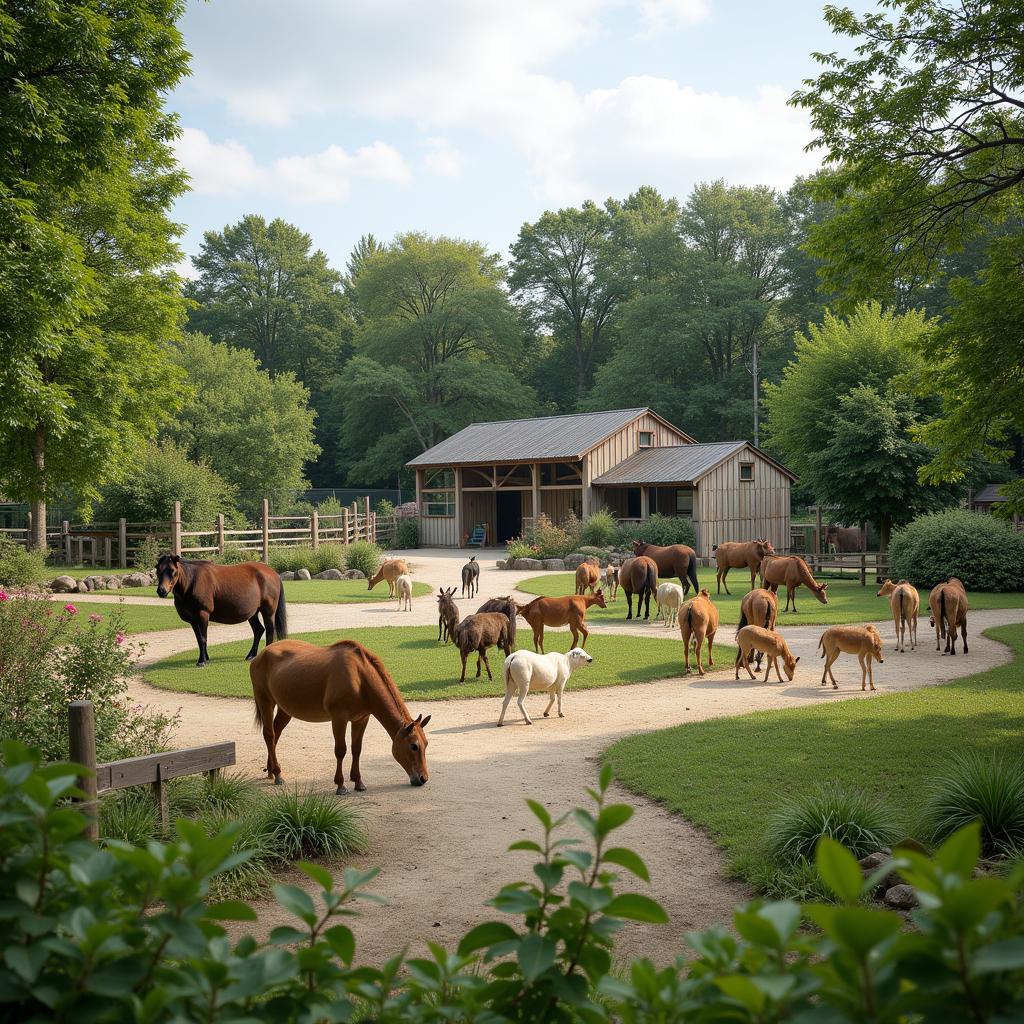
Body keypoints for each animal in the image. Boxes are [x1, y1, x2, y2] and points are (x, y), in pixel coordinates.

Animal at [154, 557, 284, 667]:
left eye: (172, 570)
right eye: (157, 569)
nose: (161, 590)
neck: (191, 582)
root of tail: (273, 573)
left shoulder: (203, 614)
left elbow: (203, 638)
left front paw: (202, 661)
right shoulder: (193, 620)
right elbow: (199, 638)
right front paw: (205, 657)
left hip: (268, 612)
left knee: (270, 631)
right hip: (252, 613)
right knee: (258, 630)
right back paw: (251, 655)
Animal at [249, 638, 430, 790]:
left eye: (426, 744)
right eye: (414, 746)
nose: (423, 779)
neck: (359, 678)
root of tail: (261, 654)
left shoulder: (361, 719)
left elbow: (356, 749)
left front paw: (358, 781)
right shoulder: (339, 719)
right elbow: (341, 750)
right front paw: (340, 785)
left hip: (285, 708)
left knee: (276, 733)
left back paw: (271, 770)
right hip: (265, 700)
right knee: (270, 734)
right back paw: (278, 774)